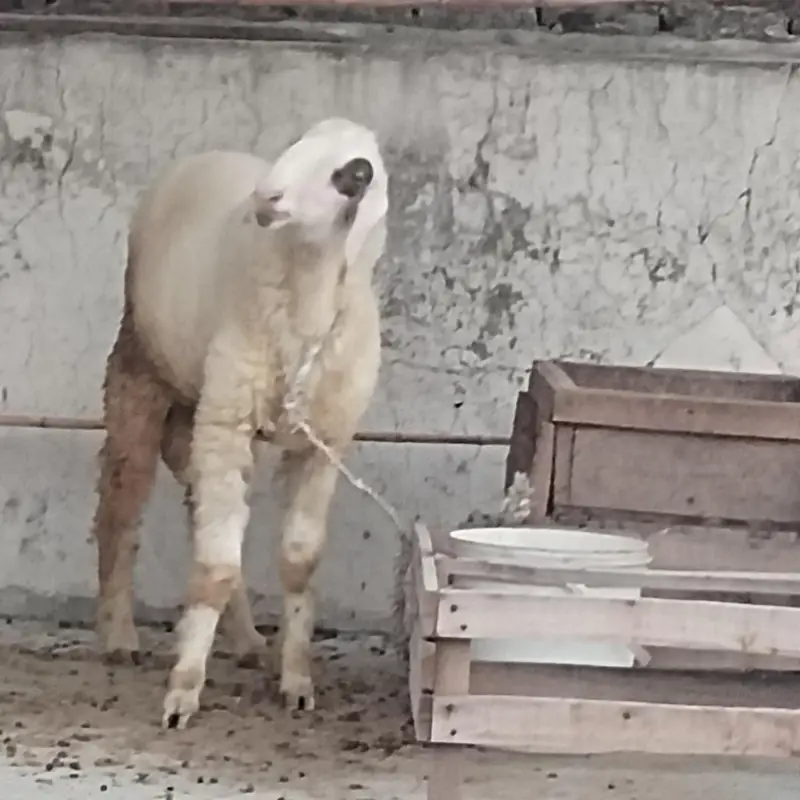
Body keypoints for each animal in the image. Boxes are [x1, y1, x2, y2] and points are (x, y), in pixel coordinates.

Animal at [91, 118, 389, 730]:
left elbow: (298, 562)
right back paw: (120, 633)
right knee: (122, 504)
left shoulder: (323, 445)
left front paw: (296, 682)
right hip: (142, 368)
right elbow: (215, 564)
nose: (265, 199)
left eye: (350, 175)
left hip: (202, 402)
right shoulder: (228, 423)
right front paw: (182, 693)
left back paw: (249, 640)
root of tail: (206, 155)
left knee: (195, 500)